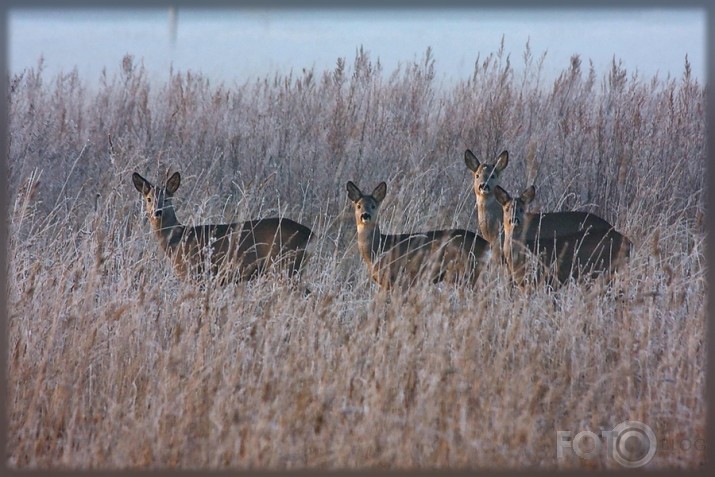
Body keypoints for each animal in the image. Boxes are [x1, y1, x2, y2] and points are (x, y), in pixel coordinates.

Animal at [133, 171, 312, 282]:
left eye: (167, 199)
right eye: (149, 199)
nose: (157, 212)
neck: (178, 240)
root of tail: (310, 233)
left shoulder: (195, 273)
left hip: (285, 264)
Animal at [346, 180, 492, 288]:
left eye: (373, 205)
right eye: (358, 206)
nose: (365, 215)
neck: (378, 249)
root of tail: (486, 244)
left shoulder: (396, 278)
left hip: (465, 271)